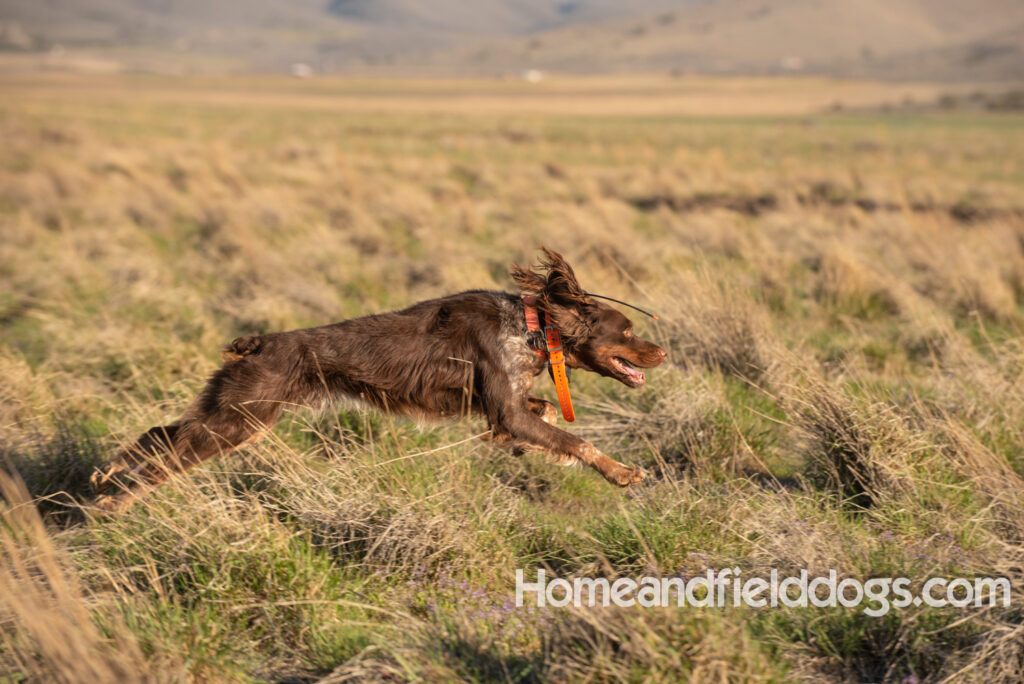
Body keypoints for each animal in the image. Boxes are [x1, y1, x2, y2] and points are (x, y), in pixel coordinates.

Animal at [92, 248, 667, 509]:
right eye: (627, 329)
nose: (662, 350)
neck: (531, 325)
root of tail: (259, 342)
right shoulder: (504, 405)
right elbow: (576, 441)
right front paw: (622, 474)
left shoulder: (501, 408)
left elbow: (539, 414)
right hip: (239, 419)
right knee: (165, 457)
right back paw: (116, 501)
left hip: (230, 411)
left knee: (159, 434)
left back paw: (108, 473)